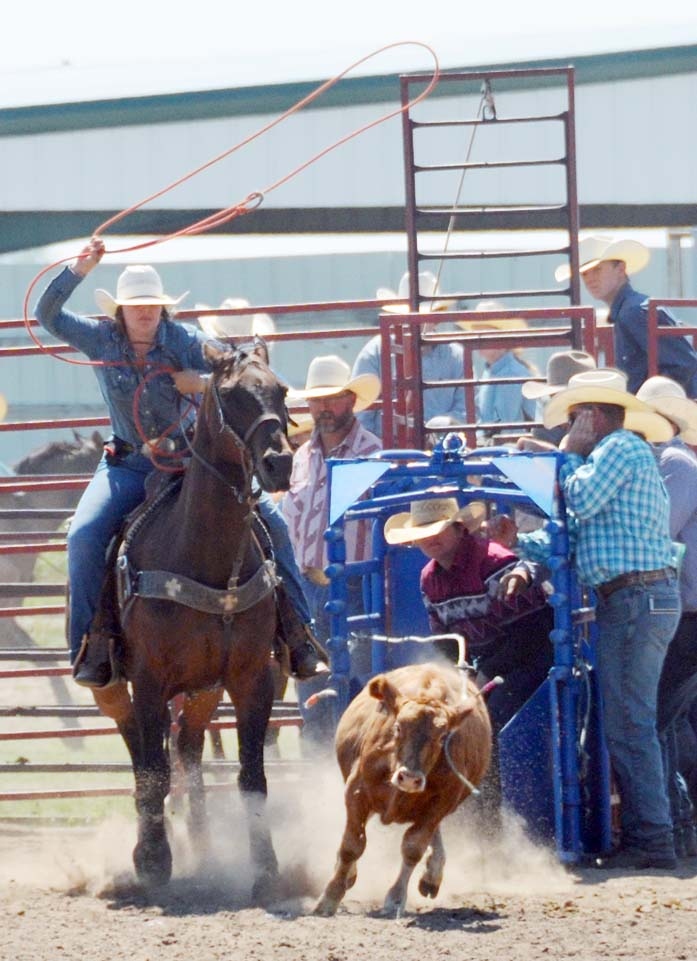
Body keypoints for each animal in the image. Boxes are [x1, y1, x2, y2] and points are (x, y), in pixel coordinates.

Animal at [91, 342, 292, 896]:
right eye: (231, 395)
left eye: (282, 391)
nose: (280, 462)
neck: (203, 554)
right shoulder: (149, 680)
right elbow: (154, 770)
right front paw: (154, 860)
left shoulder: (251, 679)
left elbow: (252, 777)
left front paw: (266, 870)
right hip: (114, 682)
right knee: (139, 750)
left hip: (203, 689)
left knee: (189, 750)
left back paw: (202, 848)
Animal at [316, 660, 490, 916]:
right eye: (397, 727)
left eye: (442, 737)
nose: (409, 778)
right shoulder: (356, 791)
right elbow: (352, 845)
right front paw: (329, 897)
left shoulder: (442, 803)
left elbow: (413, 847)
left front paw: (396, 898)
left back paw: (432, 876)